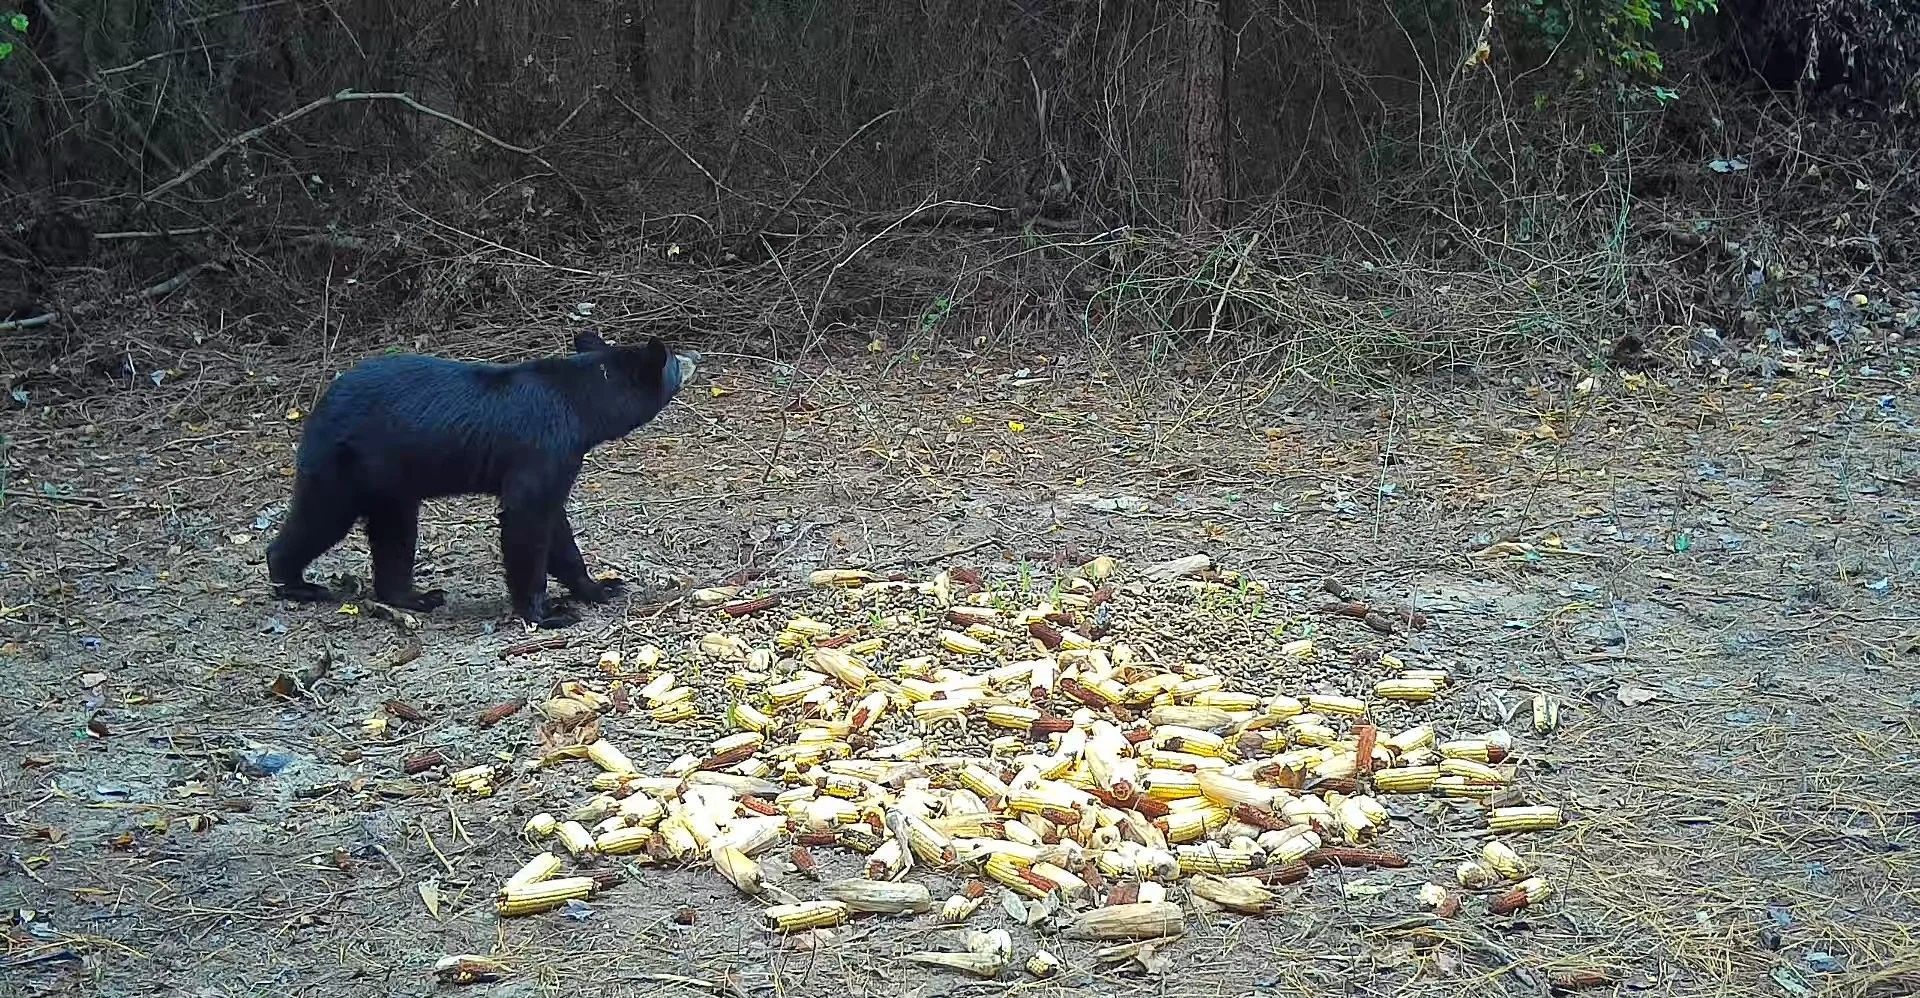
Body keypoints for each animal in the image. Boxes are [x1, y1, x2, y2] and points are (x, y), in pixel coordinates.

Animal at [266, 330, 695, 629]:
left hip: (392, 481)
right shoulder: (544, 446)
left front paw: (600, 587)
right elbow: (526, 519)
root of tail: (320, 406)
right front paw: (545, 612)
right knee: (321, 517)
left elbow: (555, 525)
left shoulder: (558, 457)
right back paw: (296, 582)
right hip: (344, 466)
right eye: (674, 359)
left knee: (395, 533)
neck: (581, 404)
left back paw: (414, 597)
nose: (695, 356)